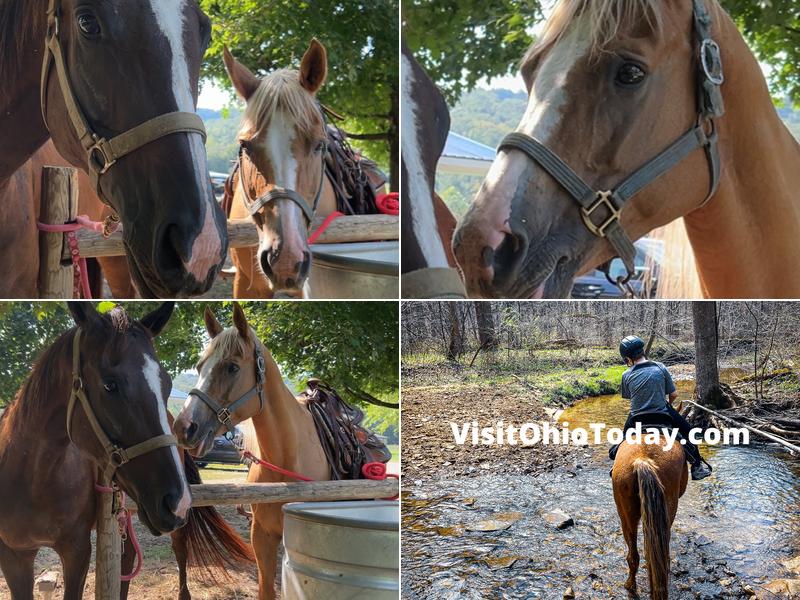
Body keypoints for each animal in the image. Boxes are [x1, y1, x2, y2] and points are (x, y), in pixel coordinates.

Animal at [0, 302, 254, 600]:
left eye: (167, 384)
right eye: (110, 384)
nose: (177, 501)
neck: (31, 476)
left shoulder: (77, 552)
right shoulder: (14, 555)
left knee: (178, 547)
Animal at [173, 304, 331, 599]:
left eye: (232, 367)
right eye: (199, 367)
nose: (183, 427)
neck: (286, 459)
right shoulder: (262, 536)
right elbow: (266, 589)